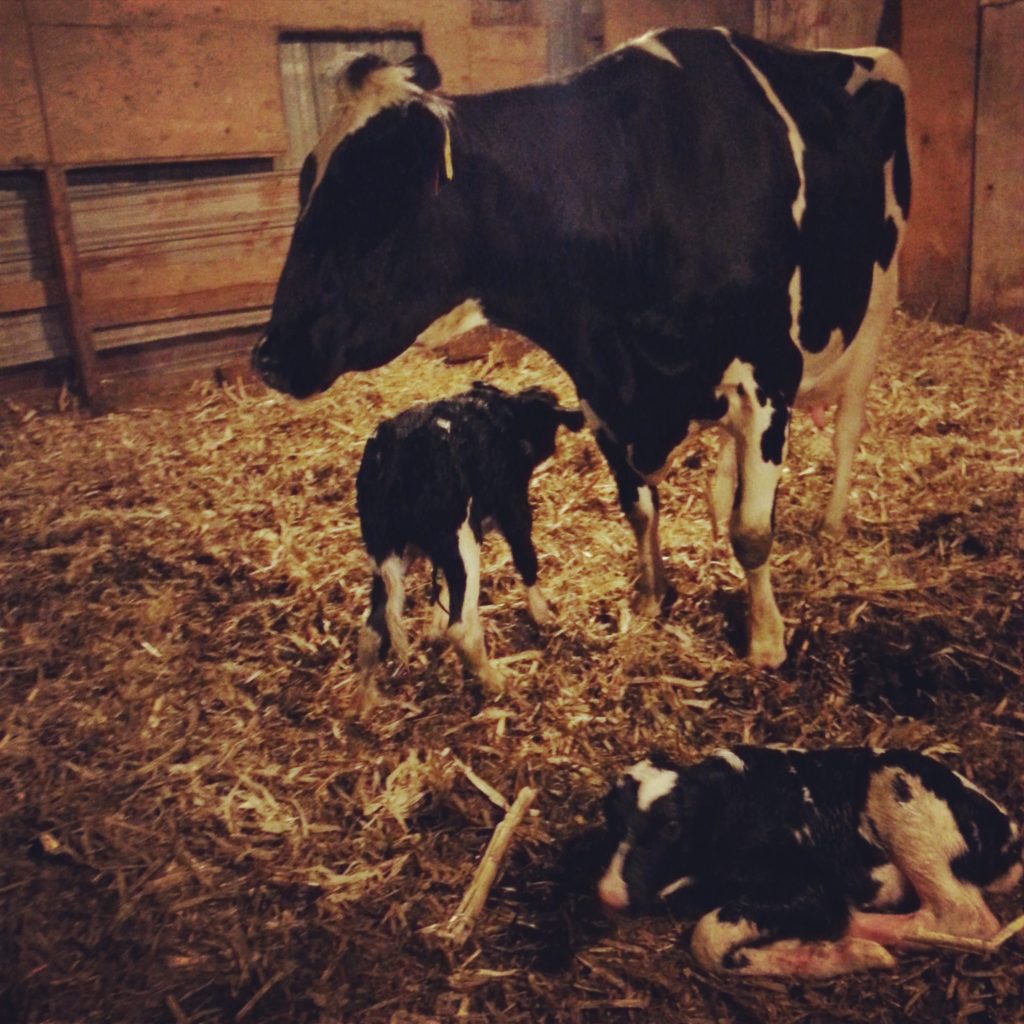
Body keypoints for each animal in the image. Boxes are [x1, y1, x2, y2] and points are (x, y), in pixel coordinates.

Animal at [252, 30, 912, 669]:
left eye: (368, 199)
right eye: (306, 184)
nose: (268, 354)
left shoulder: (770, 373)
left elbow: (753, 533)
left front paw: (767, 641)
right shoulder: (600, 388)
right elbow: (640, 506)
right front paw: (651, 596)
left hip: (875, 315)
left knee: (848, 430)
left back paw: (831, 521)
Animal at [355, 382, 583, 707]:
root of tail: (389, 457)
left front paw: (434, 629)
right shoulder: (513, 506)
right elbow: (526, 559)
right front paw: (544, 616)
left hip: (383, 550)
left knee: (372, 629)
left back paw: (367, 704)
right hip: (460, 541)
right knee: (461, 628)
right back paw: (500, 682)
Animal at [598, 747, 1023, 978]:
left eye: (671, 826)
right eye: (610, 817)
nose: (608, 894)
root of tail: (1009, 834)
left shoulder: (810, 886)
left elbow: (707, 937)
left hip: (904, 792)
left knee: (964, 917)